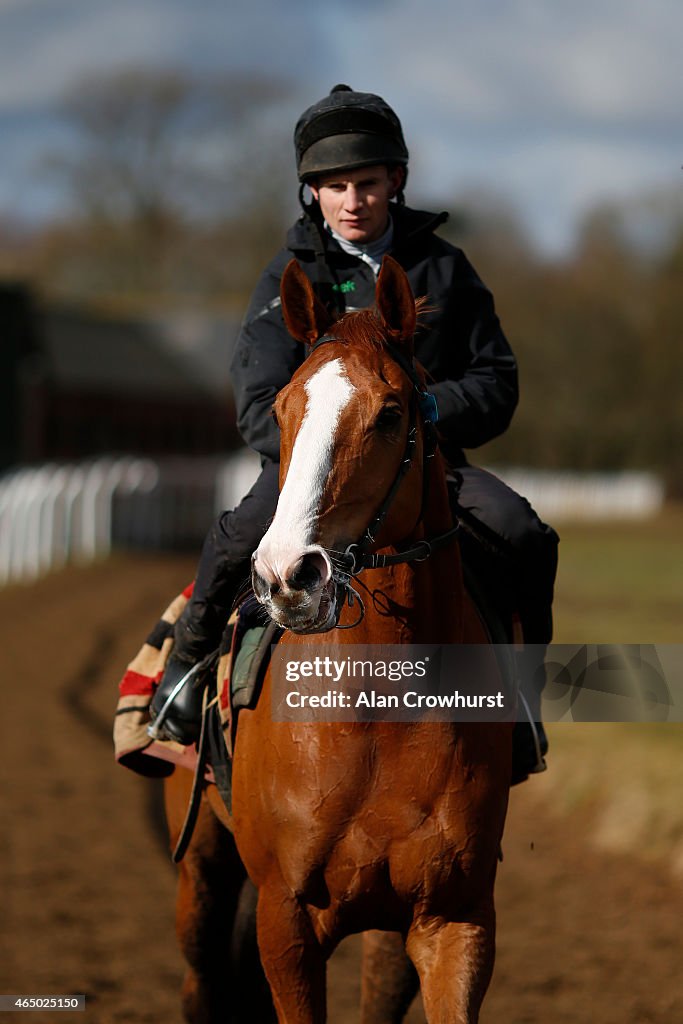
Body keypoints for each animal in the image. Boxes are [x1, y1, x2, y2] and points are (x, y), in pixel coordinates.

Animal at [163, 256, 507, 1024]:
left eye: (391, 413)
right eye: (284, 408)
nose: (288, 573)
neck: (378, 715)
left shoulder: (455, 918)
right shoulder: (285, 917)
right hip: (201, 863)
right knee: (201, 978)